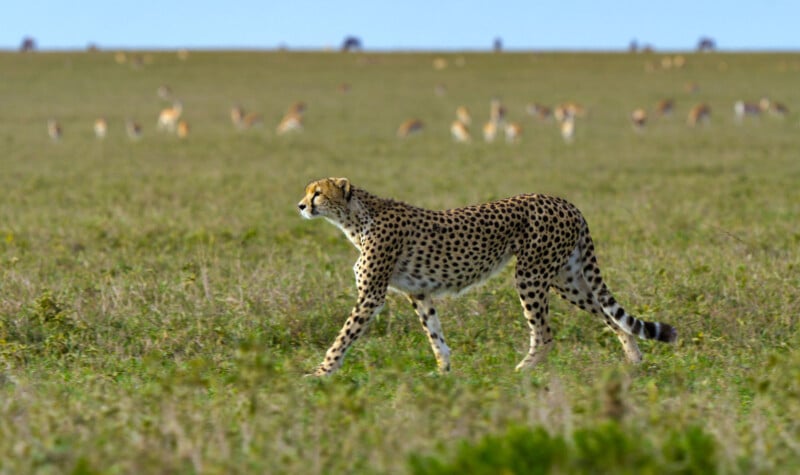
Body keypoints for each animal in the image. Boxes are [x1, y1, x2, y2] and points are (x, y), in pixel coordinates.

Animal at [297, 177, 677, 376]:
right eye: (308, 191)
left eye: (318, 193)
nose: (301, 206)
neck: (356, 217)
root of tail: (565, 202)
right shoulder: (419, 293)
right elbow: (435, 334)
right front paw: (443, 373)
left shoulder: (372, 295)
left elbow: (344, 336)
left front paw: (320, 373)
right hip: (566, 279)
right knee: (611, 317)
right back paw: (634, 361)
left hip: (531, 274)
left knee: (545, 333)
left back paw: (523, 371)